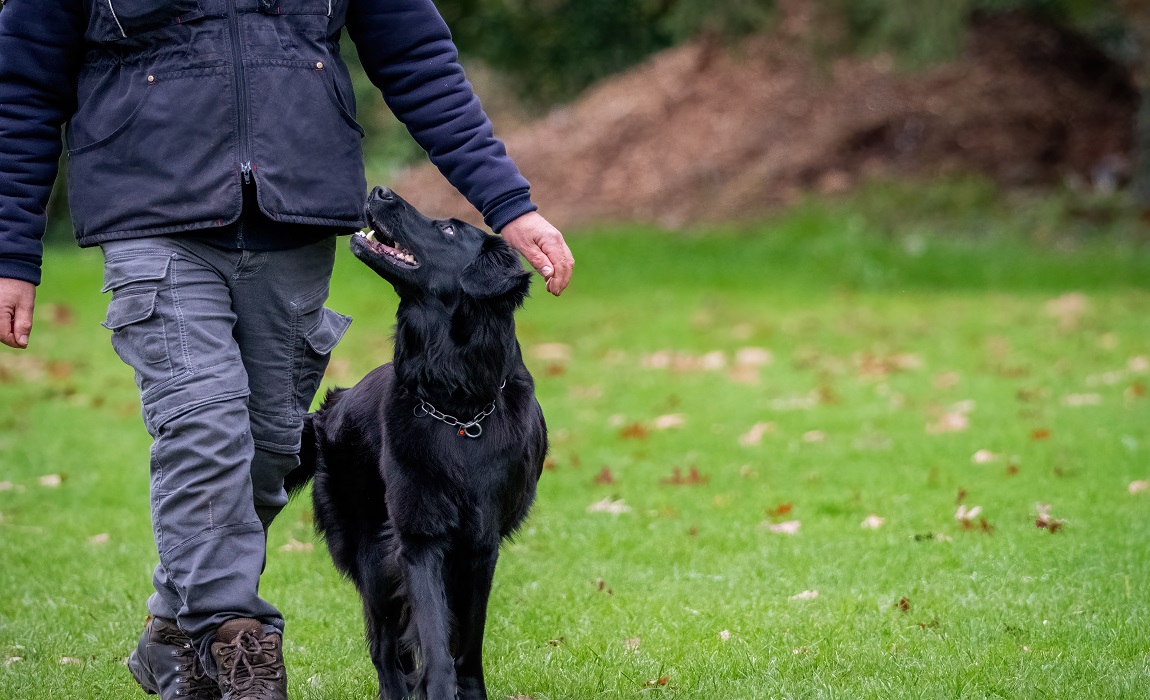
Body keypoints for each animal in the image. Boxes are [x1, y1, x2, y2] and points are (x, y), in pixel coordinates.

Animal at [287, 187, 547, 698]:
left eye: (448, 229)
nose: (379, 190)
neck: (456, 405)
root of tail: (330, 408)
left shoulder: (480, 544)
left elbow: (466, 641)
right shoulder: (418, 537)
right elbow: (433, 635)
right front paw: (439, 690)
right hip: (373, 554)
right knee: (385, 647)